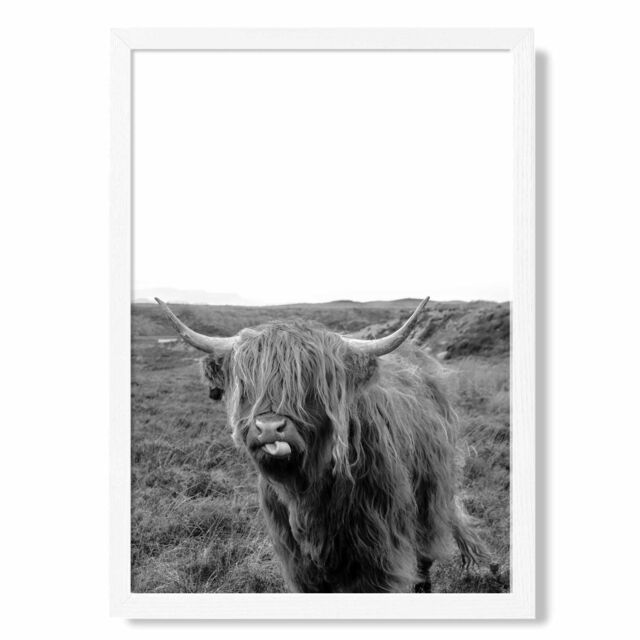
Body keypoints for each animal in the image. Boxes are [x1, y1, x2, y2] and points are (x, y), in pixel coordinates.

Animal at [155, 296, 489, 593]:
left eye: (310, 385)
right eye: (246, 386)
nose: (269, 428)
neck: (307, 494)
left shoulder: (377, 557)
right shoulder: (298, 564)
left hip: (430, 498)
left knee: (425, 558)